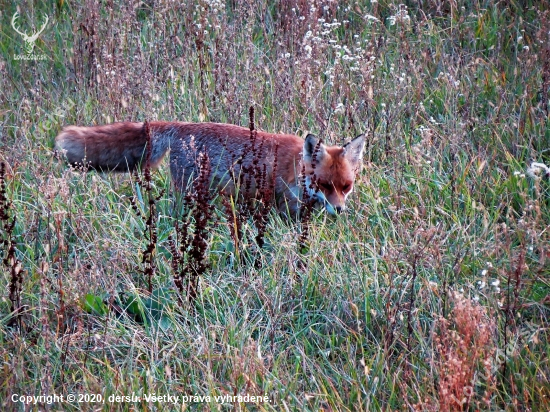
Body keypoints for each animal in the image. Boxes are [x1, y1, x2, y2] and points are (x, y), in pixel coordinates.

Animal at [55, 122, 366, 217]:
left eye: (346, 187)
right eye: (325, 185)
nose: (340, 210)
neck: (294, 168)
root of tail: (180, 126)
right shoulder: (282, 205)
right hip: (189, 194)